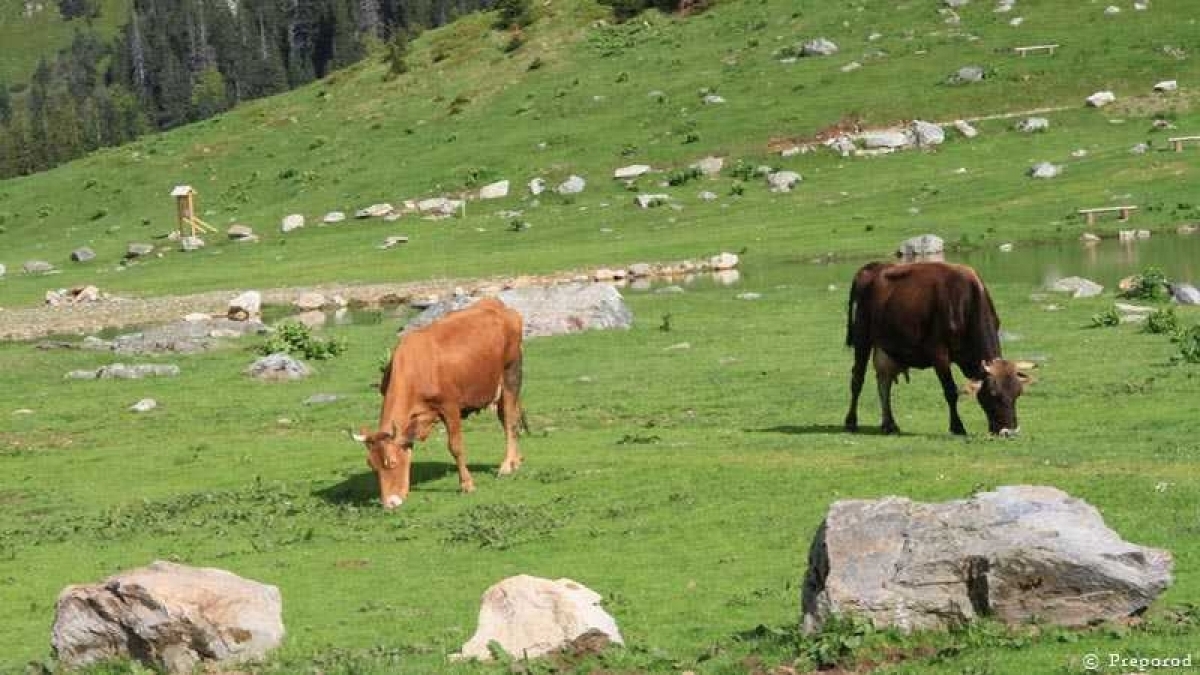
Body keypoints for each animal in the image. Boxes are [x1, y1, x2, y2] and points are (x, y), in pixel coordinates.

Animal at [350, 296, 530, 506]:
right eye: (372, 465)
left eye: (392, 462)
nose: (389, 504)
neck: (416, 369)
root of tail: (499, 306)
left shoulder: (450, 406)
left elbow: (455, 447)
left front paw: (467, 484)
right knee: (508, 418)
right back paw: (516, 460)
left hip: (511, 373)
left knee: (509, 420)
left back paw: (507, 465)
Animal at [844, 257, 1032, 437]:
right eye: (994, 394)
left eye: (1018, 393)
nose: (1009, 432)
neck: (965, 302)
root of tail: (872, 268)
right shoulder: (939, 354)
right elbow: (950, 391)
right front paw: (957, 427)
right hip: (862, 338)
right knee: (857, 379)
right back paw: (851, 422)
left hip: (886, 347)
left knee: (884, 382)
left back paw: (889, 424)